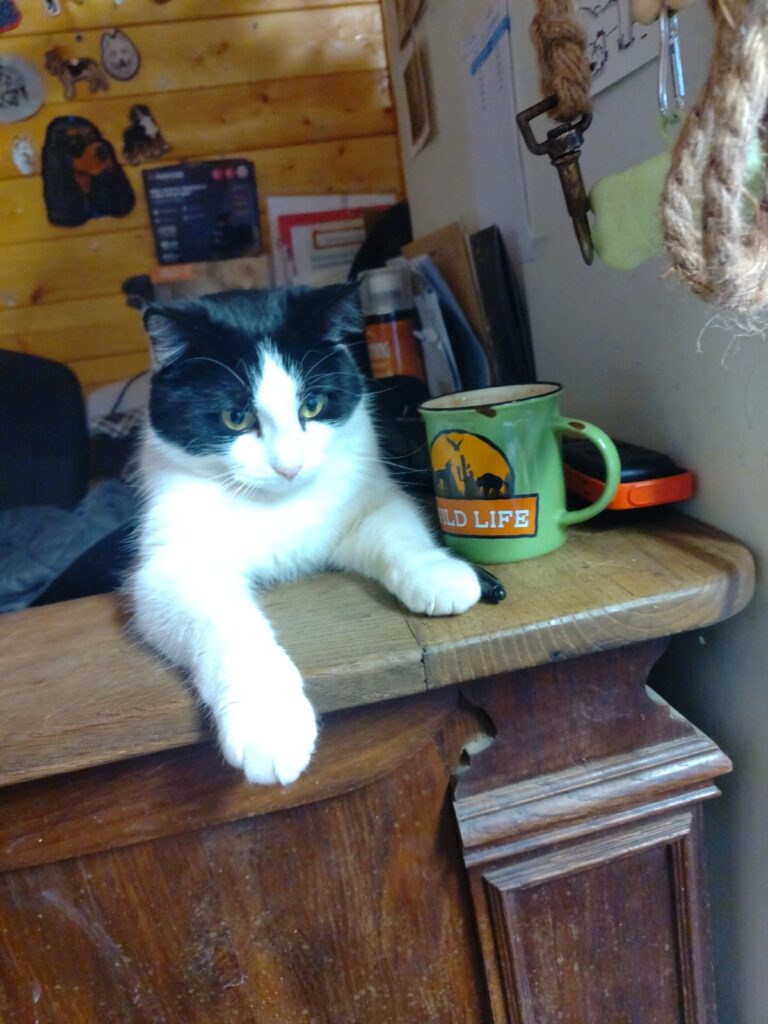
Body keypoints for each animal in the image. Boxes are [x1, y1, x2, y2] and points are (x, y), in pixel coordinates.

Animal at [130, 286, 481, 786]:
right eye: (235, 417)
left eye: (311, 406)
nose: (289, 466)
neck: (277, 504)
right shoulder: (172, 566)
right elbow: (226, 624)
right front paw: (270, 722)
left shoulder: (365, 501)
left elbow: (399, 532)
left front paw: (438, 573)